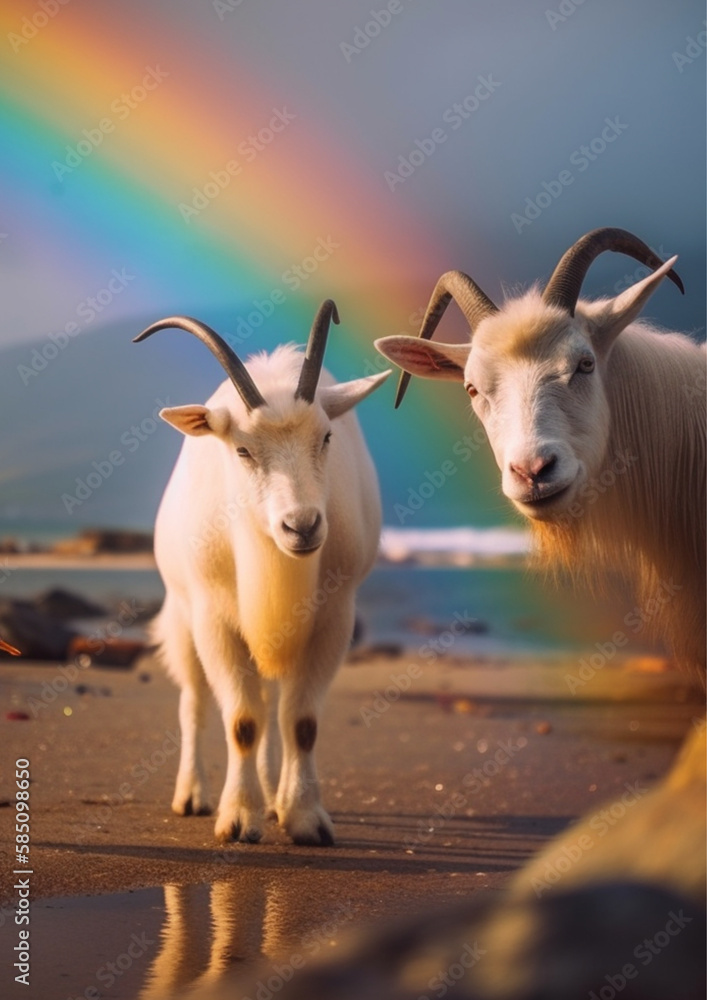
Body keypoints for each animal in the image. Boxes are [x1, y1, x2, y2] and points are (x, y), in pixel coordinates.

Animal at [135, 302, 390, 845]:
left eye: (326, 437)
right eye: (242, 450)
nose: (302, 526)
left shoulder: (333, 617)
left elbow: (301, 721)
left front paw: (304, 818)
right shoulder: (214, 618)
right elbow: (242, 720)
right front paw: (236, 820)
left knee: (276, 706)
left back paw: (274, 798)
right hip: (183, 616)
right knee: (194, 701)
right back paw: (192, 796)